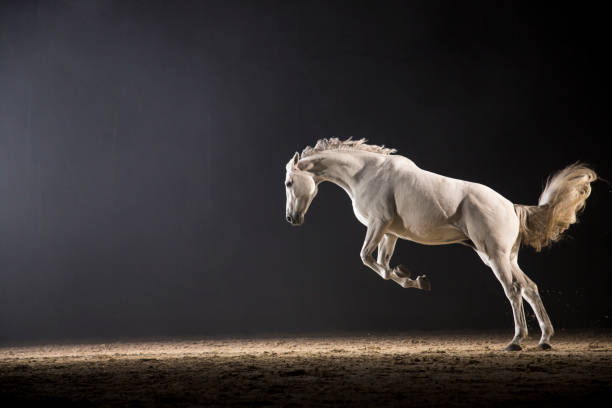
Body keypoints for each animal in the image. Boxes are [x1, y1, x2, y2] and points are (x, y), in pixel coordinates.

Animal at [286, 138, 596, 350]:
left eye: (289, 183)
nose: (291, 218)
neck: (368, 173)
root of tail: (511, 206)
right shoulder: (390, 233)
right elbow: (383, 265)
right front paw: (413, 278)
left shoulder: (378, 224)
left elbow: (366, 258)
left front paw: (411, 277)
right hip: (503, 257)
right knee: (530, 288)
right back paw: (544, 339)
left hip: (495, 256)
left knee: (513, 290)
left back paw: (516, 341)